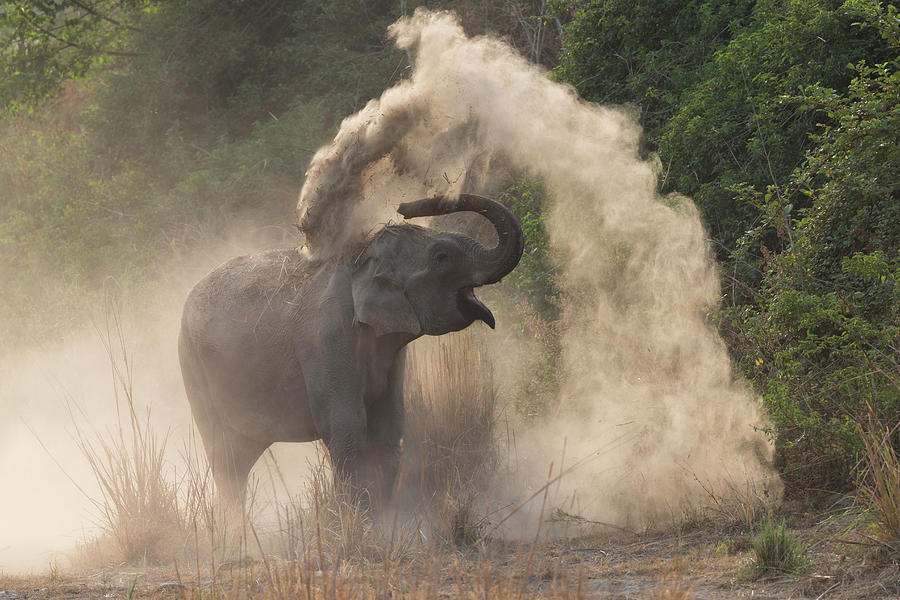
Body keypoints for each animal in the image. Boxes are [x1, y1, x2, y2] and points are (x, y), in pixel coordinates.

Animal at [178, 194, 523, 505]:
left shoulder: (390, 351)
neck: (362, 263)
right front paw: (352, 520)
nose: (405, 207)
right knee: (224, 454)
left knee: (238, 458)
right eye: (442, 256)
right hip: (192, 363)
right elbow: (346, 431)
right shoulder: (327, 339)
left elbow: (388, 429)